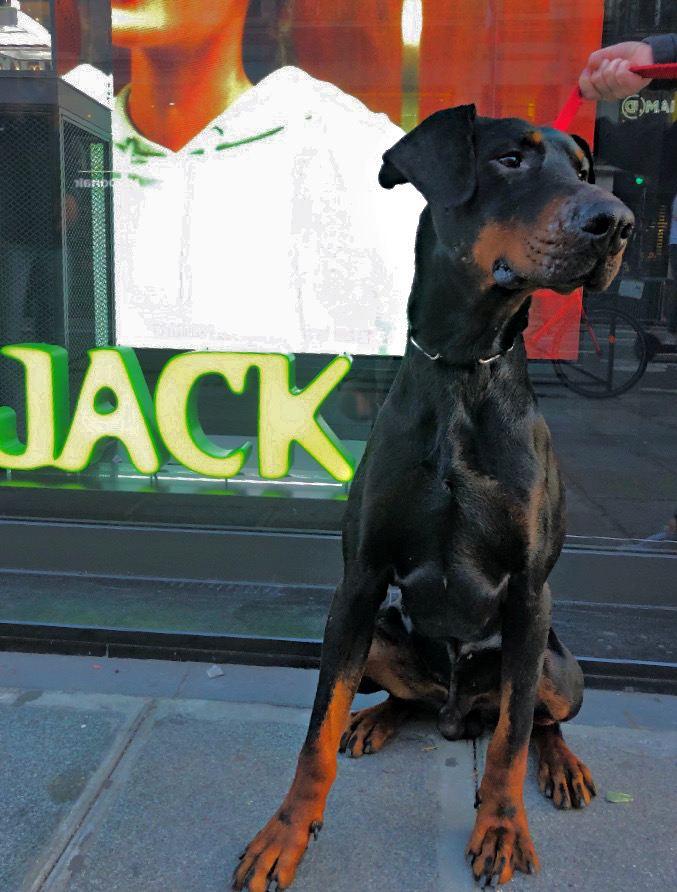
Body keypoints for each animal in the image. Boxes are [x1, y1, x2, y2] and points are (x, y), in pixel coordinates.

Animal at [232, 104, 634, 890]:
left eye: (582, 169)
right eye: (510, 159)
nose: (618, 222)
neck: (462, 365)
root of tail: (456, 714)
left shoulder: (529, 592)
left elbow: (511, 739)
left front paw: (501, 828)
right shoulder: (358, 584)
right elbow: (315, 733)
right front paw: (284, 834)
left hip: (556, 664)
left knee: (535, 718)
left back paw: (562, 766)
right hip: (384, 636)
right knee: (400, 697)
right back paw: (374, 721)